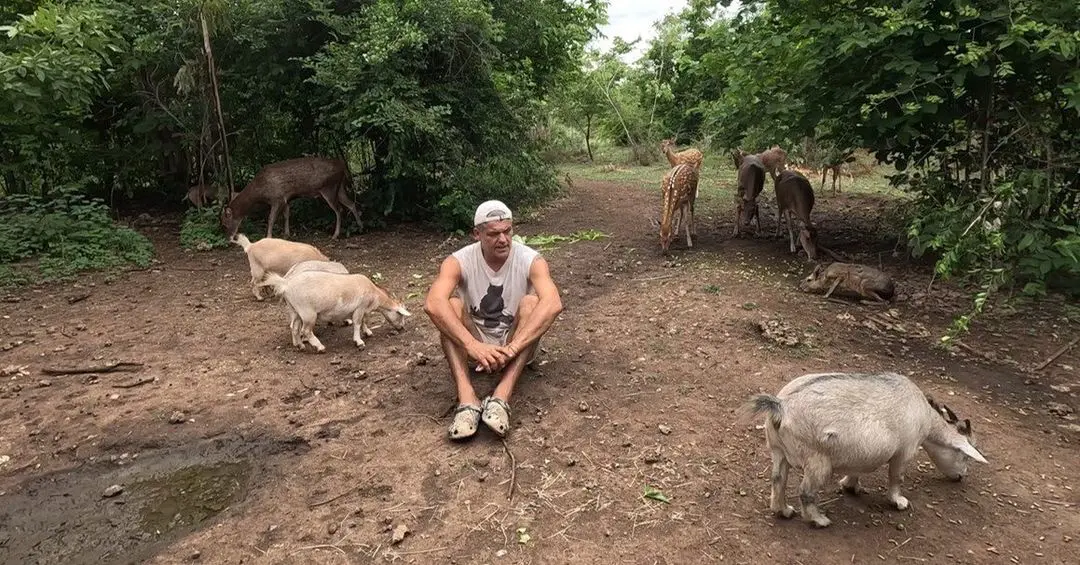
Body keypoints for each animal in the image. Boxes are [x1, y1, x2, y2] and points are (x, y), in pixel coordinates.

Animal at [221, 156, 365, 240]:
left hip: (328, 188)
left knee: (339, 209)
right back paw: (360, 227)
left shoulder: (277, 198)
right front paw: (287, 234)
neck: (260, 192)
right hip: (339, 188)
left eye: (224, 224)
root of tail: (343, 166)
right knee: (351, 204)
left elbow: (271, 218)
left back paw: (335, 235)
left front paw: (268, 236)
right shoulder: (286, 199)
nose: (229, 238)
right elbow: (287, 215)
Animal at [263, 271, 410, 354]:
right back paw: (319, 347)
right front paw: (359, 341)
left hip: (295, 310)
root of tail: (286, 284)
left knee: (294, 327)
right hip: (307, 313)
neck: (374, 295)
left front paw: (368, 332)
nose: (402, 328)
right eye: (400, 315)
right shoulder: (360, 307)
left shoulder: (361, 309)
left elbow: (363, 321)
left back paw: (299, 345)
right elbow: (357, 323)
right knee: (306, 330)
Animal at [743, 373, 989, 529]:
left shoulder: (859, 453)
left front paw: (850, 486)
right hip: (817, 460)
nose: (960, 476)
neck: (925, 415)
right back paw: (819, 520)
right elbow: (897, 478)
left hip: (778, 450)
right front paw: (898, 502)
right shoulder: (904, 452)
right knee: (806, 491)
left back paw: (783, 511)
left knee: (778, 479)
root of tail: (781, 405)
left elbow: (856, 470)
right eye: (964, 456)